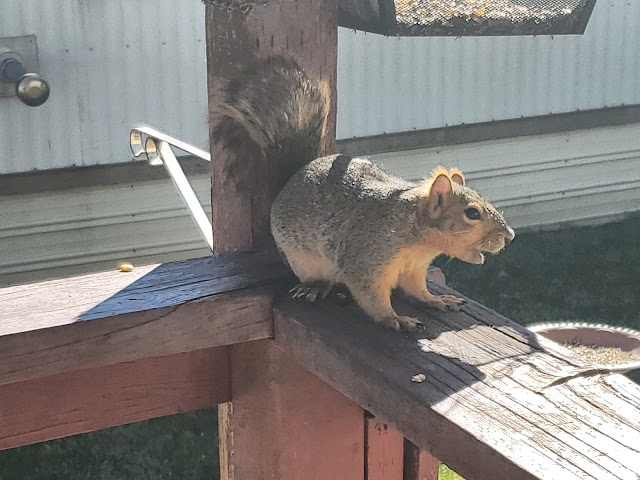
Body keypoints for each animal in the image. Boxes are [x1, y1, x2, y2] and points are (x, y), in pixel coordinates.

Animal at [214, 56, 516, 332]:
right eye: (472, 213)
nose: (510, 236)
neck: (417, 238)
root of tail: (291, 180)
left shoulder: (414, 268)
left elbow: (416, 289)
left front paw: (436, 300)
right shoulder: (367, 258)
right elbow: (371, 297)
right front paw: (396, 318)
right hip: (302, 260)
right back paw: (315, 287)